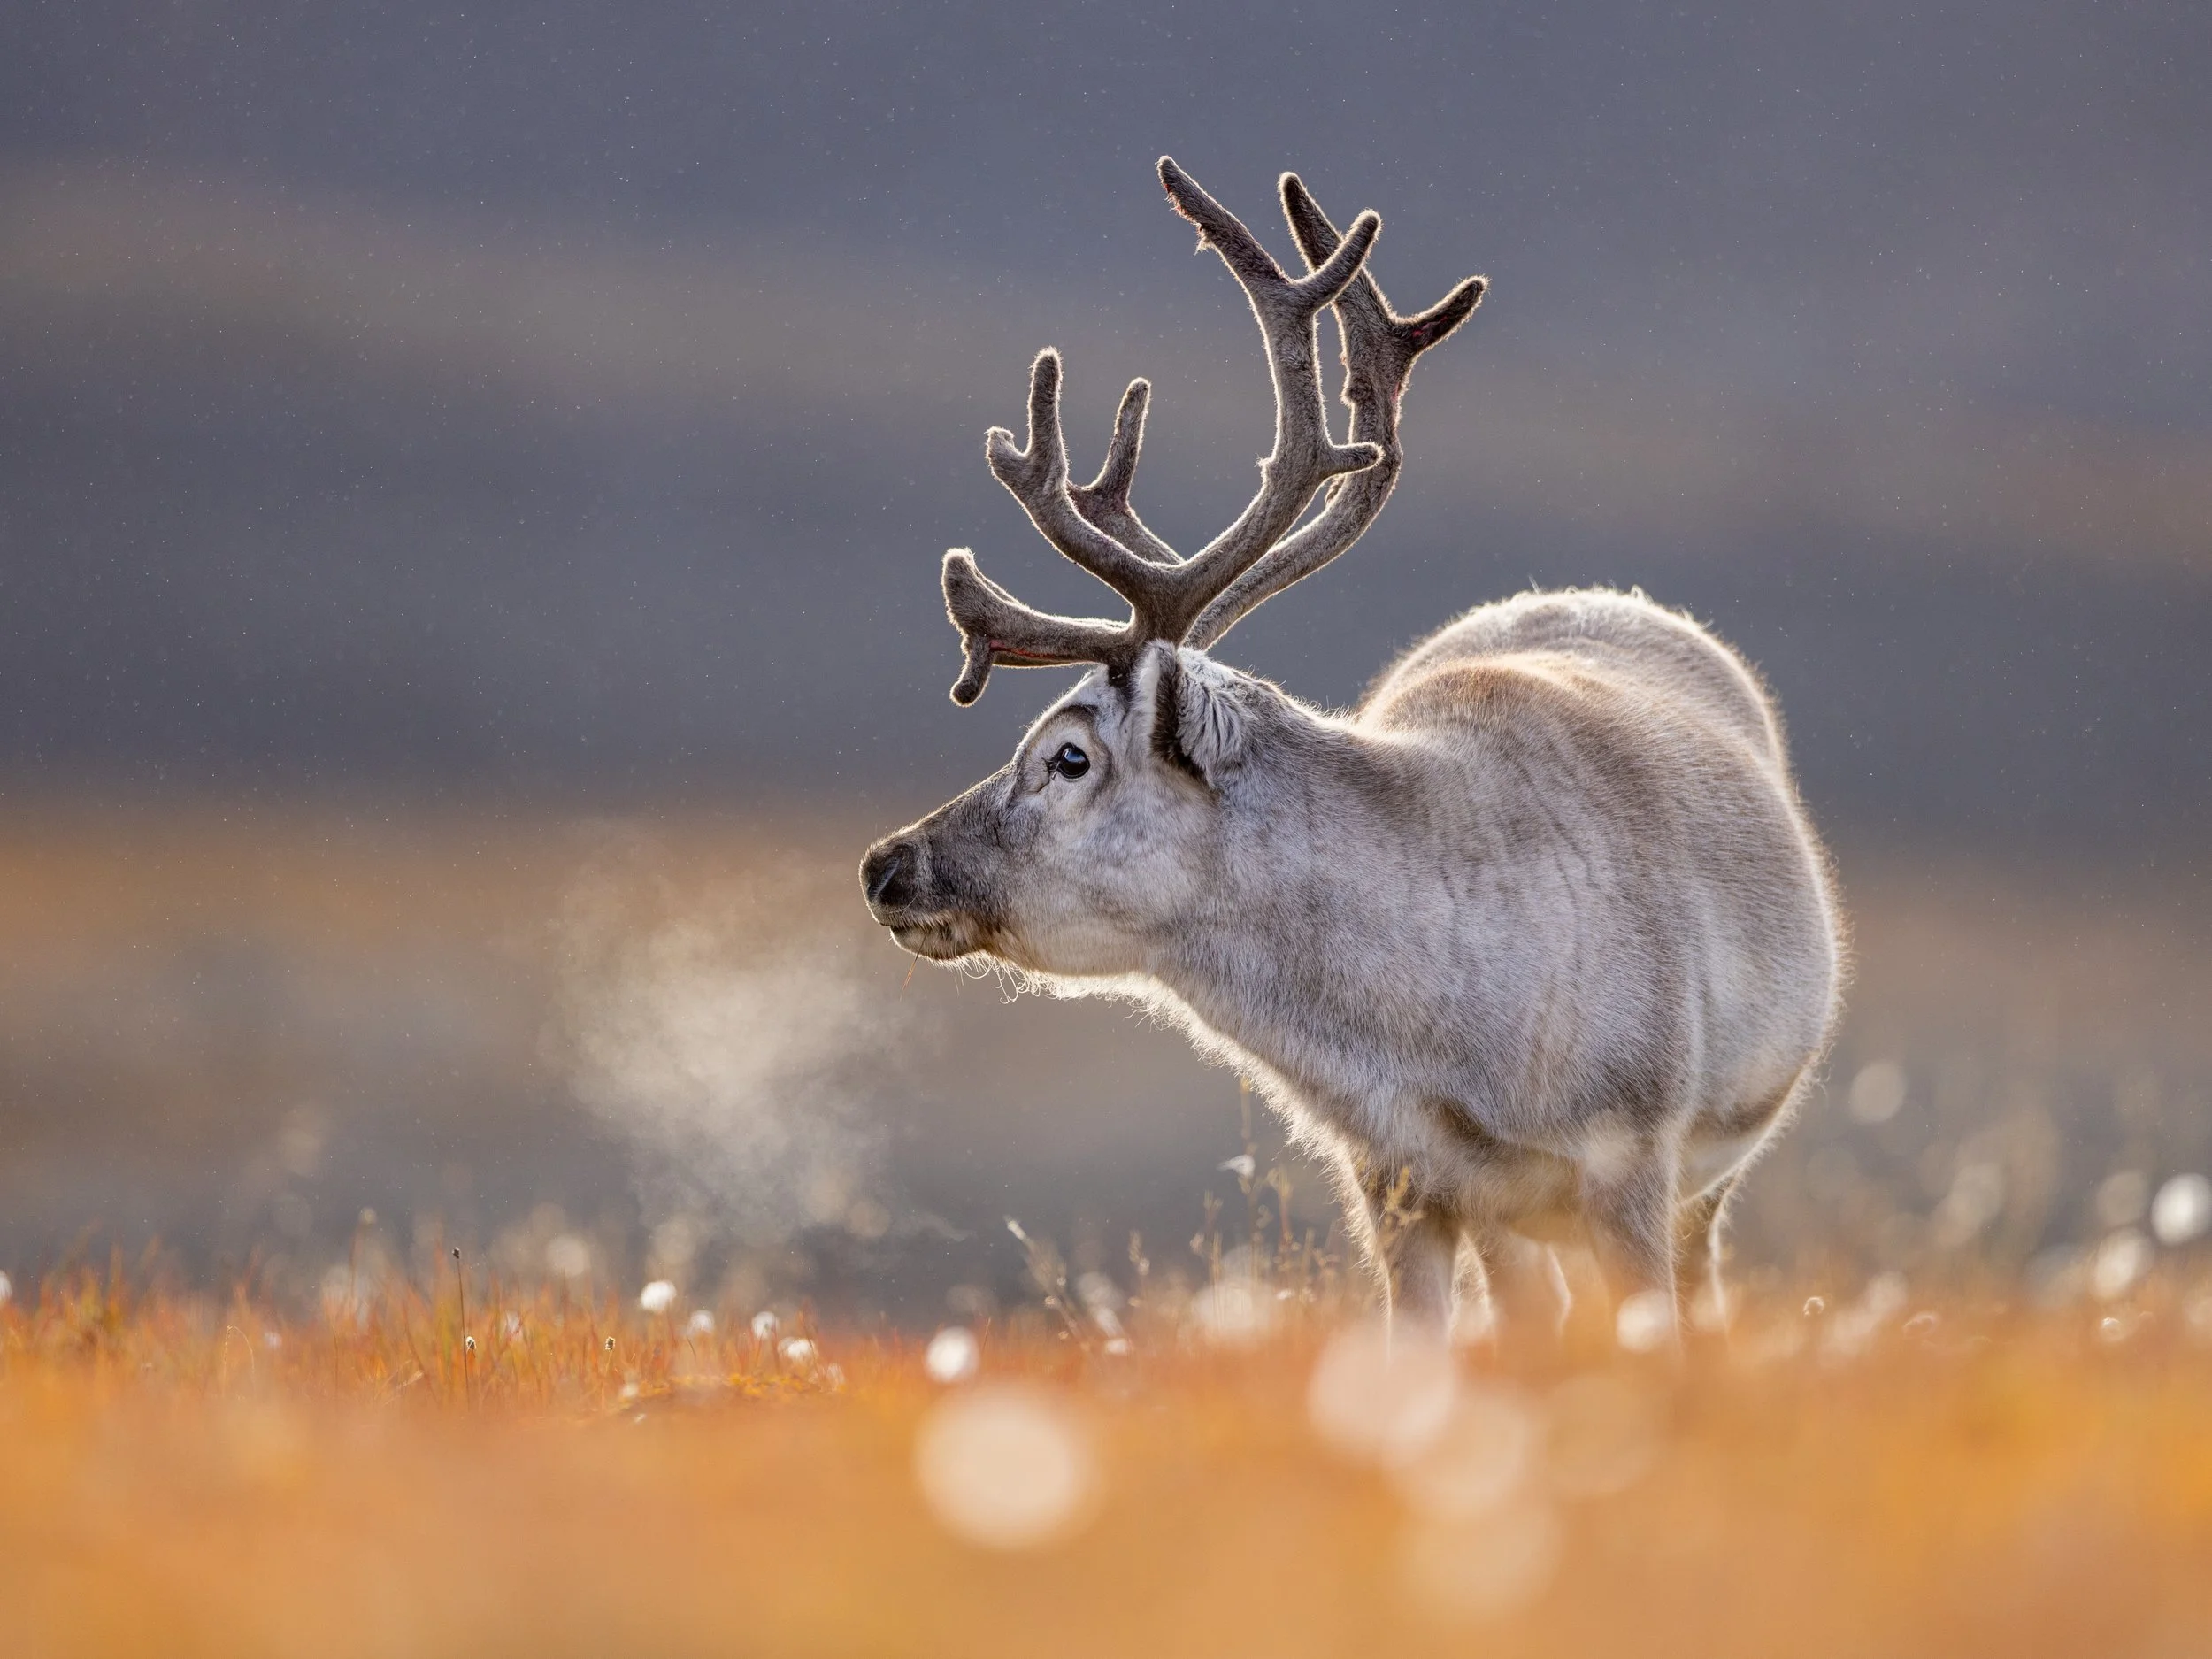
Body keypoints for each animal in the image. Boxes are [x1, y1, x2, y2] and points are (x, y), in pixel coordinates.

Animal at [860, 158, 1843, 1353]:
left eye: (1067, 756)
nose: (885, 864)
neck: (1431, 1038)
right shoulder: (1398, 1181)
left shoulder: (1634, 1160)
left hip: (1709, 1175)